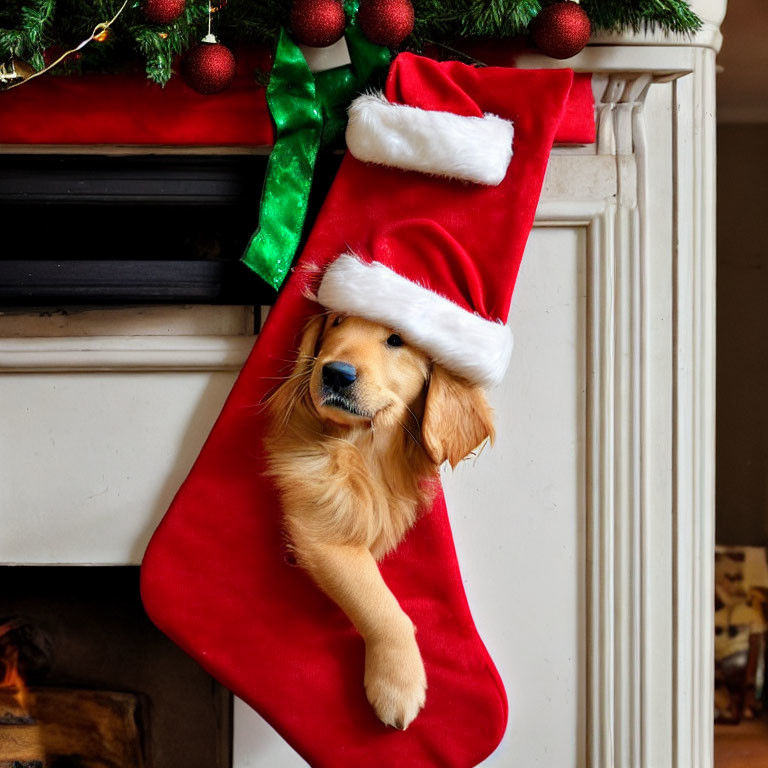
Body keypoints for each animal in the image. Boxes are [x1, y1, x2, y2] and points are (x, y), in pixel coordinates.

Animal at [266, 314, 492, 732]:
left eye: (396, 340)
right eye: (336, 321)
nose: (336, 373)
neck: (363, 449)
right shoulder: (321, 528)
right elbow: (379, 603)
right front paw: (398, 683)